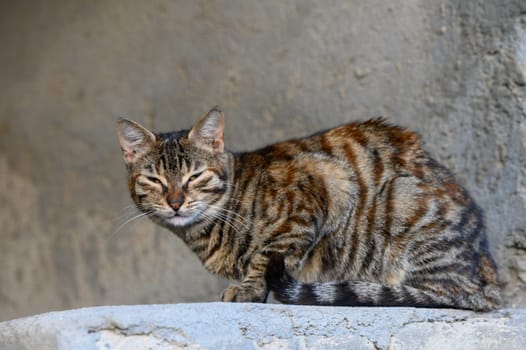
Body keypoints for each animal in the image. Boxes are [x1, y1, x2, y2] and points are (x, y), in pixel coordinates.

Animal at [117, 105, 506, 310]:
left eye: (195, 175)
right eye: (154, 180)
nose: (176, 202)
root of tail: (490, 273)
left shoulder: (316, 189)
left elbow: (267, 255)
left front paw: (250, 287)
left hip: (404, 204)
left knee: (444, 293)